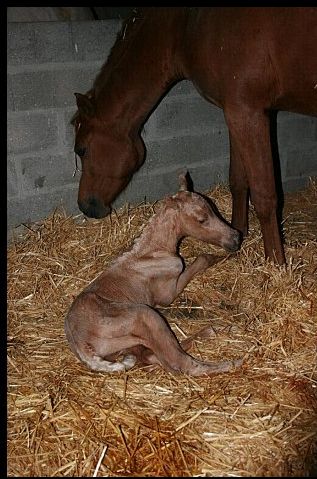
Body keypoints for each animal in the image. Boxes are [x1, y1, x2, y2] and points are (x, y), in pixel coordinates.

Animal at [65, 174, 242, 376]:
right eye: (202, 219)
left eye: (213, 208)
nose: (236, 238)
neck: (153, 251)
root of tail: (81, 344)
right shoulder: (168, 294)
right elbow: (202, 259)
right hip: (146, 315)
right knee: (179, 363)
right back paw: (233, 360)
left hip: (130, 344)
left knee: (153, 356)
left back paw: (219, 329)